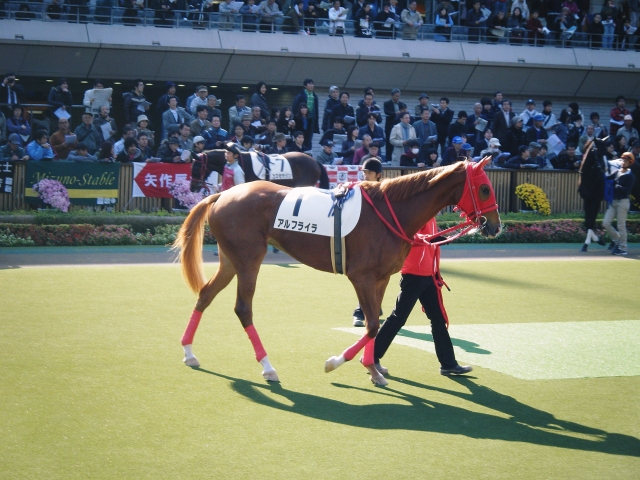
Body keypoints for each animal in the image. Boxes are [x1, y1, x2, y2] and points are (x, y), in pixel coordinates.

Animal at [173, 158, 501, 386]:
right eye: (485, 188)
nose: (495, 226)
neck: (389, 211)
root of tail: (222, 195)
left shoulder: (381, 277)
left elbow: (376, 321)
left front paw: (373, 369)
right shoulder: (361, 276)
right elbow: (372, 324)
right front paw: (335, 362)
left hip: (231, 260)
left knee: (205, 295)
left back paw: (189, 352)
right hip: (249, 259)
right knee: (243, 309)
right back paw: (267, 367)